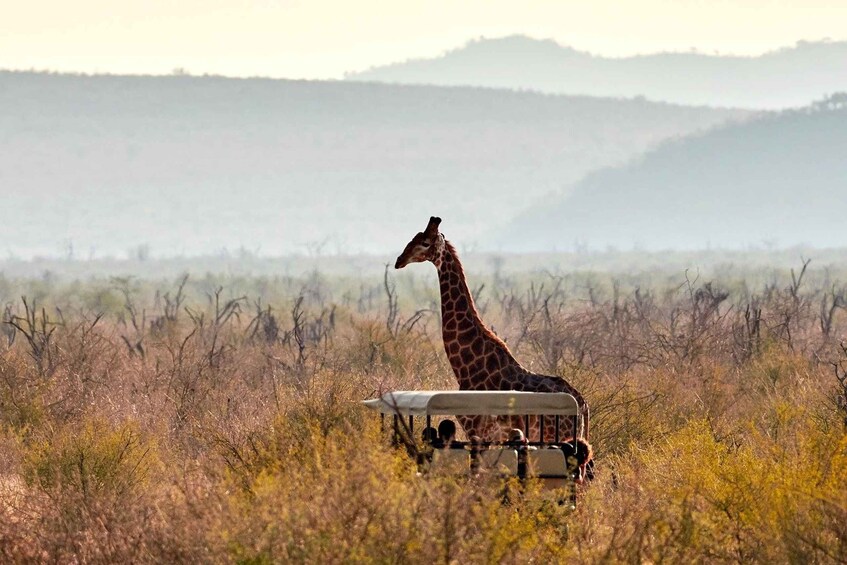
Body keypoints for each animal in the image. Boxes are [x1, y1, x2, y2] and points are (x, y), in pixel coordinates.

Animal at [396, 218, 588, 448]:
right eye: (413, 237)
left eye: (425, 242)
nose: (399, 260)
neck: (466, 366)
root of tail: (583, 405)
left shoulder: (477, 429)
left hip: (557, 437)